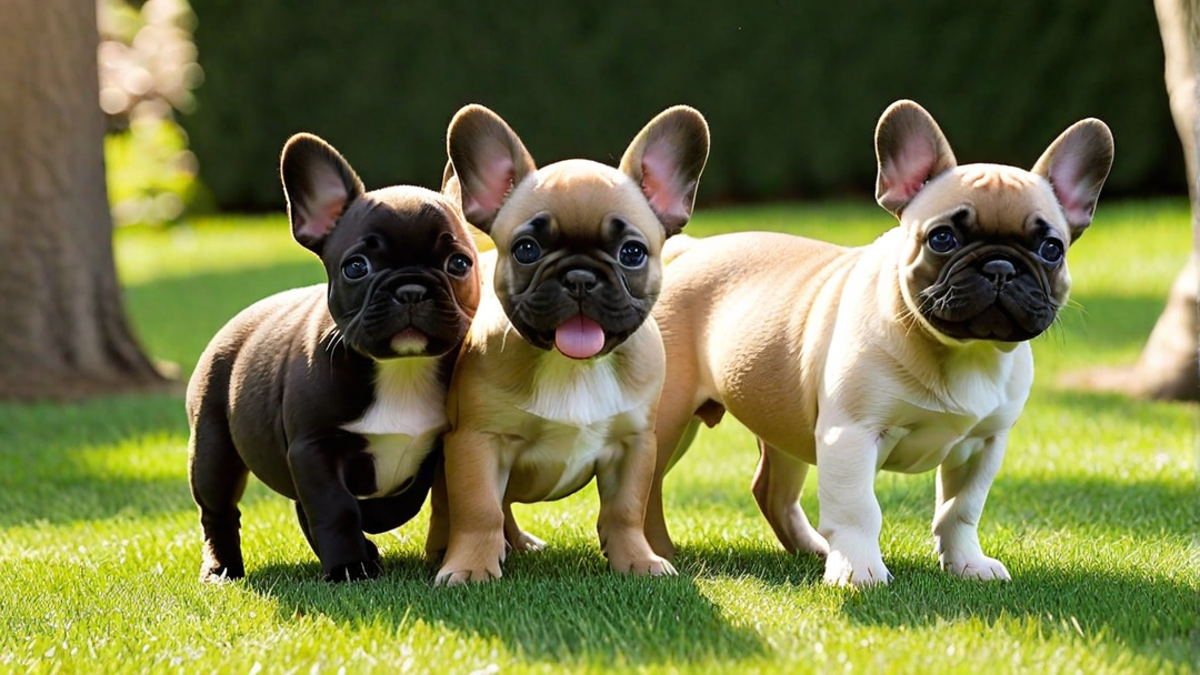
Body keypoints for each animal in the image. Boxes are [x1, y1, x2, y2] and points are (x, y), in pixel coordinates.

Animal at [184, 131, 480, 578]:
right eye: (356, 267)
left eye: (459, 263)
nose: (411, 289)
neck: (402, 369)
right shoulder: (314, 449)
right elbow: (335, 507)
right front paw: (348, 566)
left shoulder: (436, 446)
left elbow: (404, 501)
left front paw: (370, 530)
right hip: (213, 447)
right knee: (218, 509)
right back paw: (221, 568)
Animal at [432, 103, 705, 583]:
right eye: (526, 249)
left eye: (632, 253)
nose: (580, 276)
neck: (574, 365)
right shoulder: (476, 442)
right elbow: (478, 508)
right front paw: (470, 566)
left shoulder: (635, 444)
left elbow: (626, 509)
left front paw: (637, 559)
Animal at [648, 98, 1113, 583]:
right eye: (942, 238)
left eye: (1051, 249)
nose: (1000, 266)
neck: (963, 351)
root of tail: (688, 251)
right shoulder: (851, 434)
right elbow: (858, 510)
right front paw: (859, 571)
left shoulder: (984, 444)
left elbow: (960, 509)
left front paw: (967, 562)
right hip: (668, 421)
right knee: (649, 489)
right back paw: (658, 553)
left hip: (783, 418)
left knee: (771, 489)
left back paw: (812, 548)